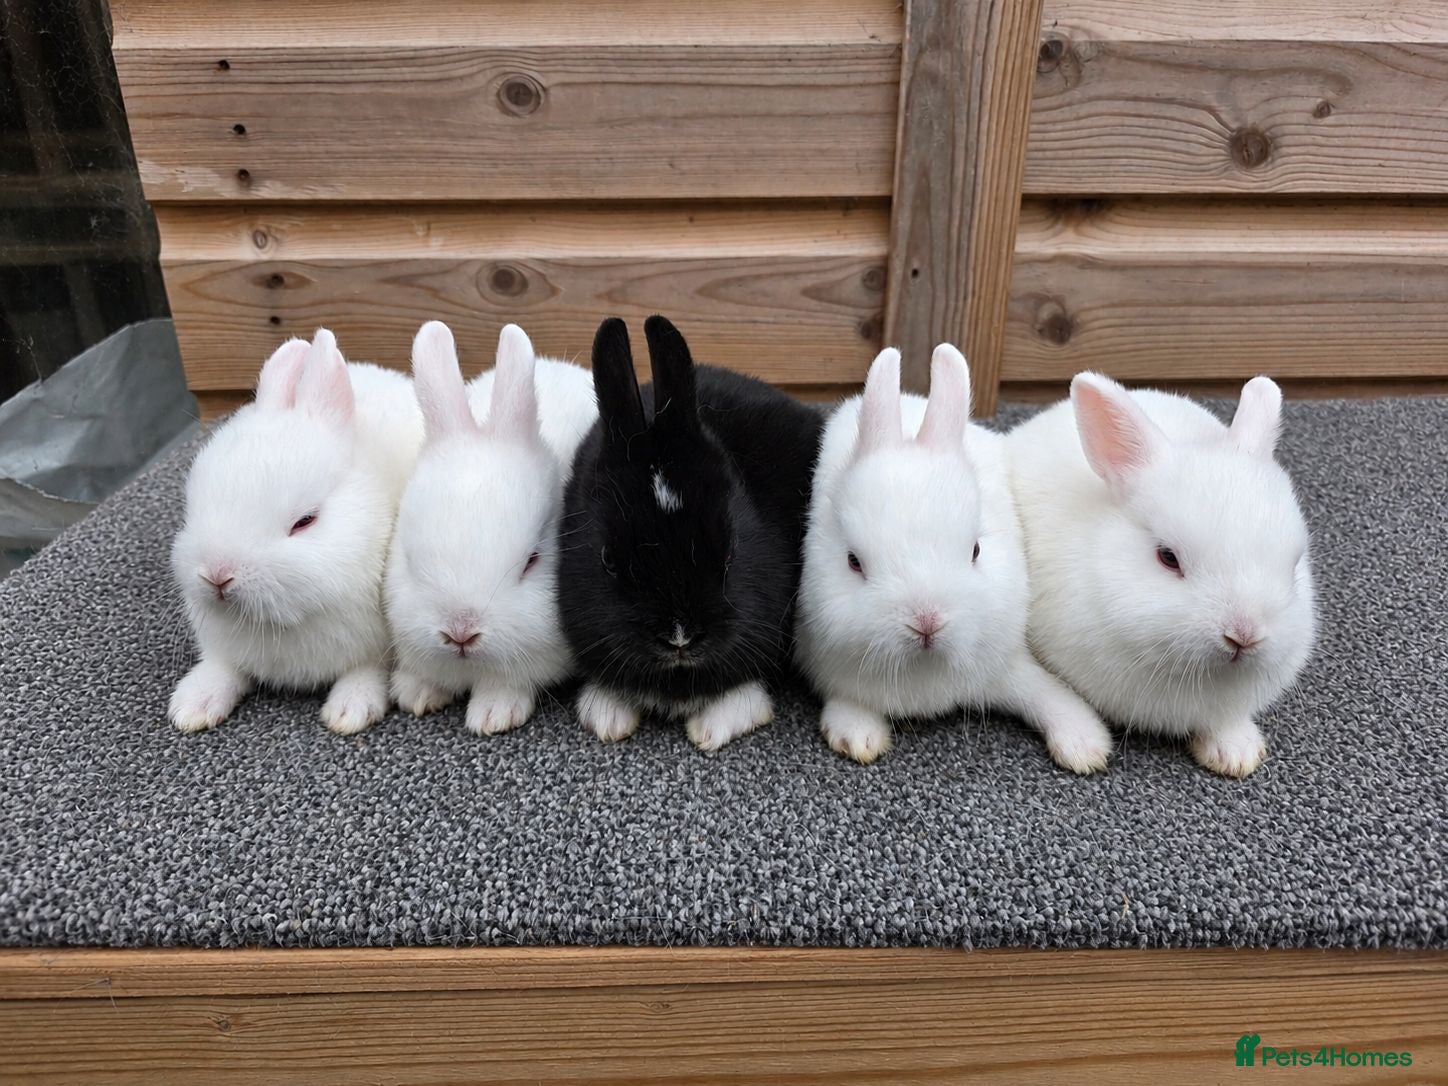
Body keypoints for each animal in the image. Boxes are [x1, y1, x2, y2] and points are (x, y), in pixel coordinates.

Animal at [168, 329, 424, 735]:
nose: (217, 576)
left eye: (305, 521)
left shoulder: (375, 645)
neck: (277, 623)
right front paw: (192, 707)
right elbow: (222, 667)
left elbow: (366, 670)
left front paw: (350, 711)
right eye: (193, 504)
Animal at [384, 320, 597, 735]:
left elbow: (509, 682)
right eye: (409, 560)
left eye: (532, 561)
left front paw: (494, 713)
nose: (461, 633)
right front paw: (416, 693)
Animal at [795, 344, 1114, 772]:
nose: (927, 623)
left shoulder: (1004, 664)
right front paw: (858, 735)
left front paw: (1085, 744)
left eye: (976, 550)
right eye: (853, 561)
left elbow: (1043, 691)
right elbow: (849, 700)